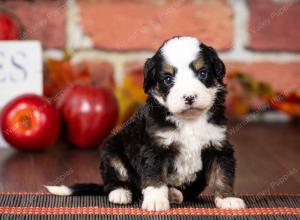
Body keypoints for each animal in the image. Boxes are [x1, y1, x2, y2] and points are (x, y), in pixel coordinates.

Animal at [45, 36, 245, 211]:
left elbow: (222, 174)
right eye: (168, 79)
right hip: (112, 152)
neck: (189, 120)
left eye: (203, 73)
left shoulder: (218, 145)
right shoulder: (155, 147)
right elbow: (155, 176)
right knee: (113, 181)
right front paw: (156, 201)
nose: (189, 97)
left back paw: (174, 193)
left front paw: (228, 199)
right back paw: (121, 193)